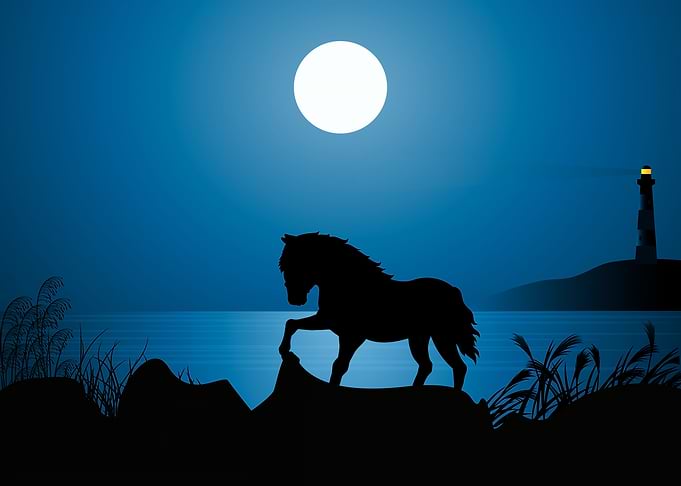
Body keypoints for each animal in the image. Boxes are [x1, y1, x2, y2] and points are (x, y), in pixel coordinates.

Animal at [278, 232, 479, 391]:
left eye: (294, 263)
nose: (295, 300)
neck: (351, 285)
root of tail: (453, 291)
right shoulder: (326, 321)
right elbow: (291, 323)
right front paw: (283, 349)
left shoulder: (352, 336)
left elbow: (339, 366)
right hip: (420, 337)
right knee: (428, 365)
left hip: (442, 337)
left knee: (458, 367)